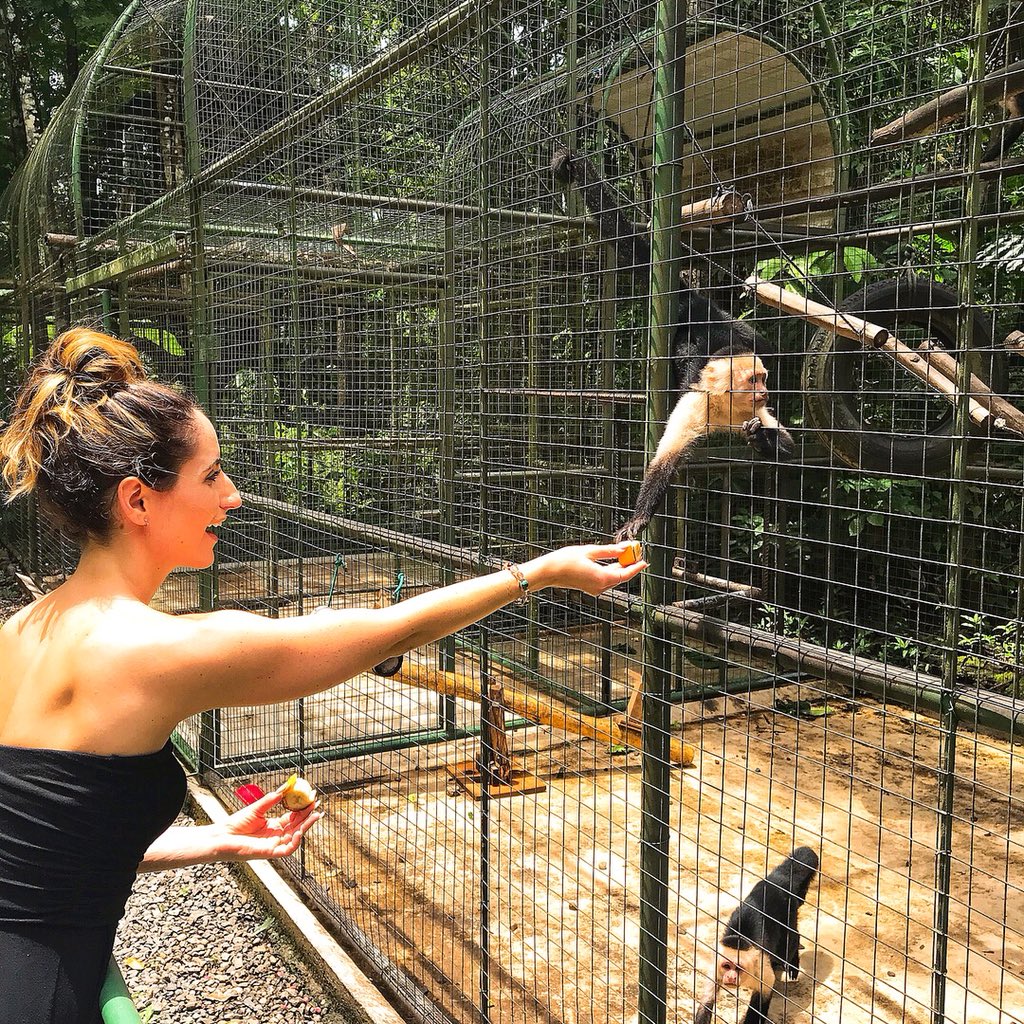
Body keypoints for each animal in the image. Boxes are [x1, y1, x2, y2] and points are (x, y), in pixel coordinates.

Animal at [552, 149, 790, 544]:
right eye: (752, 380)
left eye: (762, 379)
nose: (766, 390)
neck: (727, 407)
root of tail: (693, 302)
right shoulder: (697, 401)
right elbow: (664, 460)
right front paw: (639, 517)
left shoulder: (754, 409)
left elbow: (787, 447)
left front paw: (760, 440)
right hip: (684, 316)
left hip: (727, 320)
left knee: (757, 339)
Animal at [692, 847, 819, 1024]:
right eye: (726, 966)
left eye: (738, 968)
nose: (730, 977)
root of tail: (776, 880)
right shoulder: (715, 968)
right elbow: (706, 1002)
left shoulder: (761, 968)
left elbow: (764, 993)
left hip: (787, 911)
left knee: (788, 945)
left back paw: (793, 960)